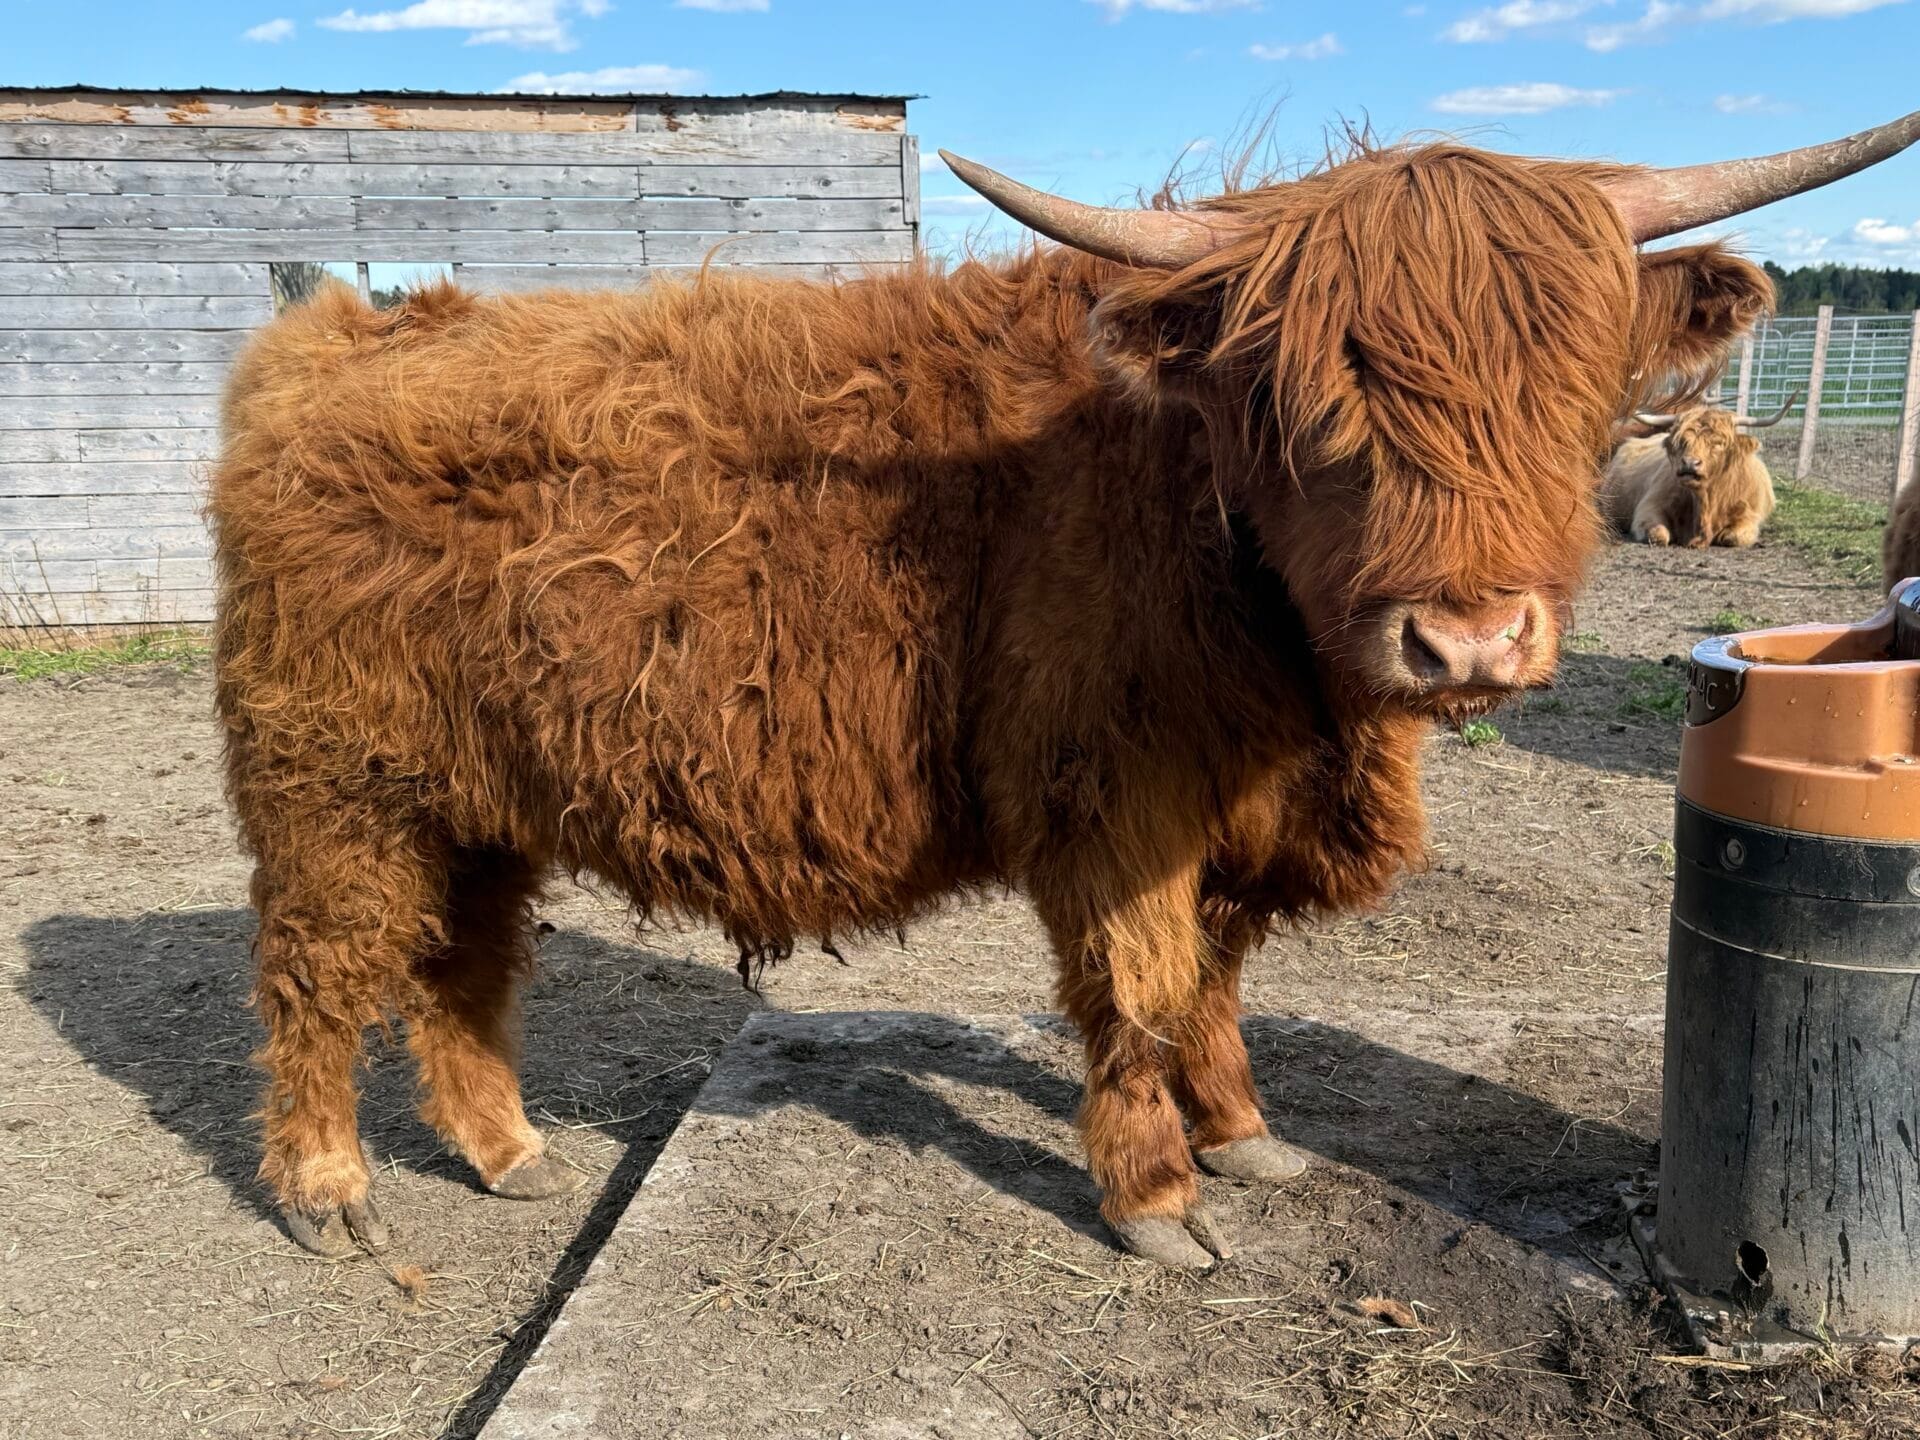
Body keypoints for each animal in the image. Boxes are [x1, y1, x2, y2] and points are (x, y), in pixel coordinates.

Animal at [1602, 394, 1796, 547]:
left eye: (1718, 443)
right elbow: (1657, 535)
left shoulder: (1750, 516)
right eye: (1681, 441)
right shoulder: (1649, 507)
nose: (1690, 463)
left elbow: (1734, 537)